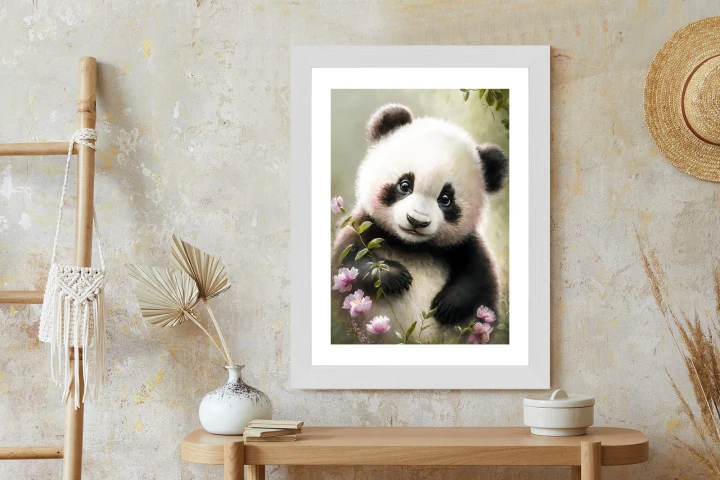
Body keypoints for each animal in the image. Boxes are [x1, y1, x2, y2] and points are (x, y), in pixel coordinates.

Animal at [331, 103, 508, 343]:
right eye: (405, 185)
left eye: (446, 199)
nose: (416, 221)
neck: (412, 246)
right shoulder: (365, 227)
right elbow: (347, 264)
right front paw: (396, 276)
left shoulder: (464, 245)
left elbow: (480, 281)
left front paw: (447, 304)